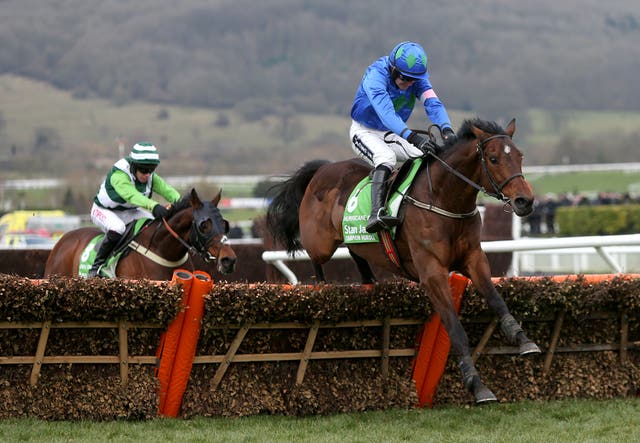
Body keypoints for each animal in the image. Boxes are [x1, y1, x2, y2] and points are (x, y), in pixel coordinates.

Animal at [264, 119, 540, 406]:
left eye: (519, 156)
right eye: (494, 159)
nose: (525, 201)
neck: (444, 199)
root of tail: (321, 169)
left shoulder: (474, 258)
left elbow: (497, 300)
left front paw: (522, 339)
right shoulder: (432, 273)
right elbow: (455, 329)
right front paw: (477, 385)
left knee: (356, 252)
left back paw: (369, 280)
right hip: (321, 243)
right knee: (315, 257)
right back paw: (322, 286)